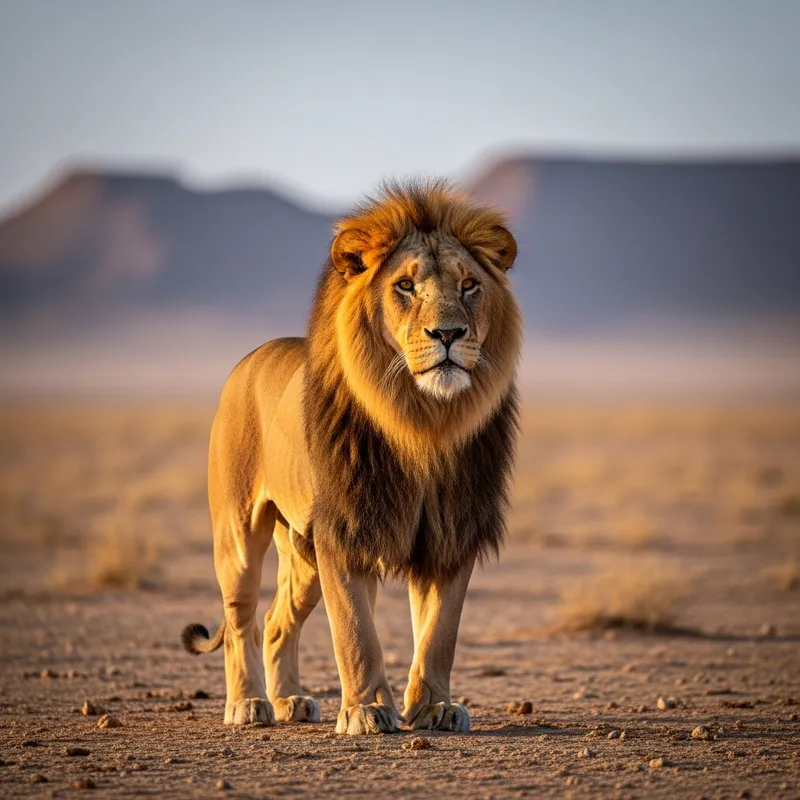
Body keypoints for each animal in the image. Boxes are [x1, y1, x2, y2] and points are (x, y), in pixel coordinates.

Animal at [182, 179, 522, 734]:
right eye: (405, 286)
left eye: (470, 284)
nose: (448, 334)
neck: (422, 422)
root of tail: (251, 356)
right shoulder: (343, 531)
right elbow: (356, 633)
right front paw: (365, 710)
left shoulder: (452, 532)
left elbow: (440, 634)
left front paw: (435, 707)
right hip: (239, 534)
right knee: (240, 621)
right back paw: (248, 704)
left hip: (301, 551)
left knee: (275, 624)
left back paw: (289, 701)